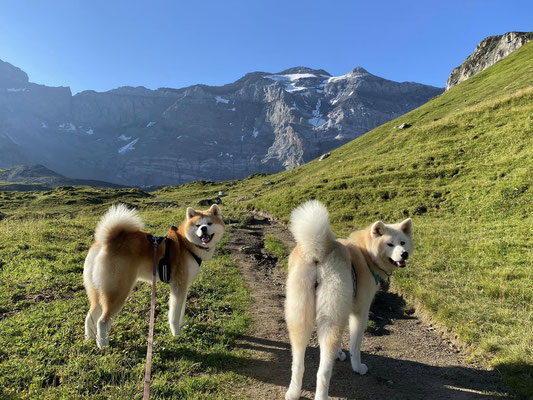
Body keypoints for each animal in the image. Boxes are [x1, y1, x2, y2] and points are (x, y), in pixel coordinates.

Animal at [83, 203, 224, 346]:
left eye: (209, 223)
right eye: (197, 225)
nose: (204, 228)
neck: (186, 244)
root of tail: (106, 241)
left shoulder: (184, 287)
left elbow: (182, 309)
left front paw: (183, 325)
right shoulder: (178, 286)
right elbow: (174, 314)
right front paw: (177, 334)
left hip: (97, 290)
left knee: (90, 316)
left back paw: (89, 338)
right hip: (118, 291)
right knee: (102, 321)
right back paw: (103, 345)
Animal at [284, 202, 414, 398]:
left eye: (403, 243)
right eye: (390, 244)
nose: (404, 254)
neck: (366, 254)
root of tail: (318, 251)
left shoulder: (344, 309)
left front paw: (339, 353)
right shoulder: (360, 312)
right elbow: (355, 346)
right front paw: (358, 367)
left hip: (300, 318)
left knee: (298, 364)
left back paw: (292, 393)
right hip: (329, 318)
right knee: (323, 372)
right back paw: (322, 395)